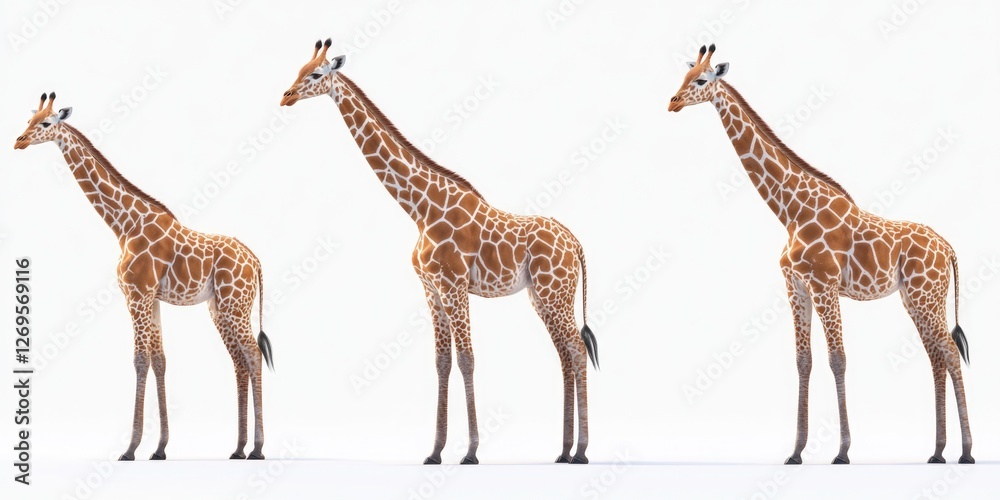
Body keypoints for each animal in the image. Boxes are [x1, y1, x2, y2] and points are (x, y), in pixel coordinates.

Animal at [14, 93, 275, 461]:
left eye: (46, 123)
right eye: (28, 120)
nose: (18, 141)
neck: (124, 225)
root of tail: (255, 259)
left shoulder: (137, 294)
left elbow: (139, 360)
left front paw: (130, 448)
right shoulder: (149, 298)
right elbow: (159, 360)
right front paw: (160, 448)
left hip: (236, 304)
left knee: (252, 355)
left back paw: (258, 449)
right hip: (220, 307)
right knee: (239, 360)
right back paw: (238, 448)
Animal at [280, 39, 599, 464]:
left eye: (315, 74)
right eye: (298, 69)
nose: (285, 96)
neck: (421, 210)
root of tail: (575, 242)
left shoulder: (454, 285)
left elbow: (467, 359)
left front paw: (471, 452)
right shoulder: (431, 289)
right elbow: (442, 361)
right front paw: (435, 451)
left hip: (555, 292)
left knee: (577, 350)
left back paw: (580, 452)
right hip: (542, 295)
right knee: (566, 353)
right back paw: (563, 451)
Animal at [668, 45, 973, 464]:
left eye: (700, 80)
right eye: (683, 77)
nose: (672, 102)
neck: (791, 213)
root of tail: (949, 248)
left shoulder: (824, 284)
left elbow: (837, 358)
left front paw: (842, 451)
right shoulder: (796, 286)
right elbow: (803, 361)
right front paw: (796, 451)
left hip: (926, 296)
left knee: (950, 353)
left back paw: (966, 452)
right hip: (917, 298)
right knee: (936, 355)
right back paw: (938, 451)